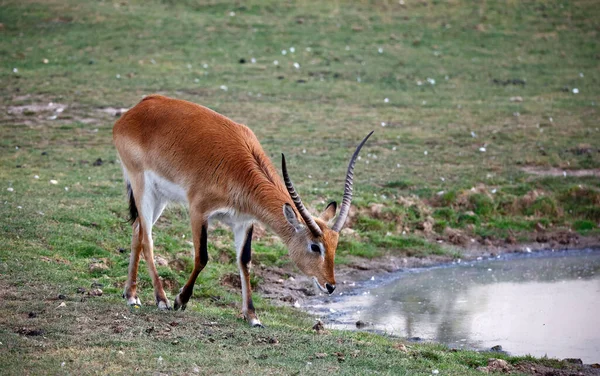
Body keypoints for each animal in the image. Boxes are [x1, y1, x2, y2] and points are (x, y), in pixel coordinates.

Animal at [112, 94, 370, 326]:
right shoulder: (198, 211)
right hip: (143, 187)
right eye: (315, 246)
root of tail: (137, 108)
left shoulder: (243, 222)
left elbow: (244, 261)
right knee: (147, 239)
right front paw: (180, 300)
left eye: (335, 246)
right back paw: (161, 300)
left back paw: (131, 295)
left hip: (160, 197)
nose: (330, 286)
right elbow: (202, 256)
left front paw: (253, 316)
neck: (240, 168)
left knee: (137, 230)